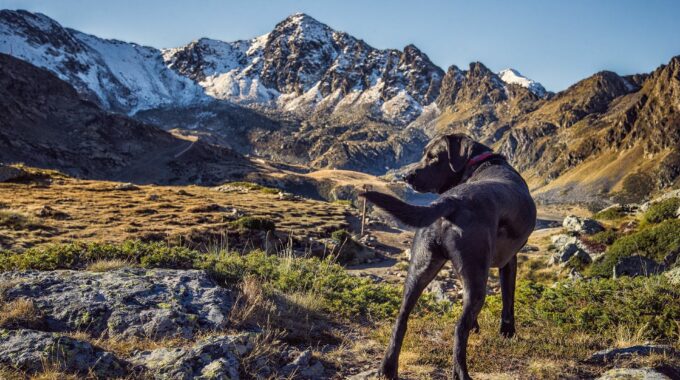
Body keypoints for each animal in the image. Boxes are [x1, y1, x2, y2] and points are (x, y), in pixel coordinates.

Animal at [362, 132, 536, 378]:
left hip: (420, 268)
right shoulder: (510, 259)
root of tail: (450, 200)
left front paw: (479, 326)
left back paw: (387, 368)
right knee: (459, 328)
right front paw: (507, 331)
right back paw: (461, 373)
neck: (480, 163)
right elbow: (507, 298)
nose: (406, 176)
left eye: (432, 157)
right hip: (477, 277)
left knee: (401, 318)